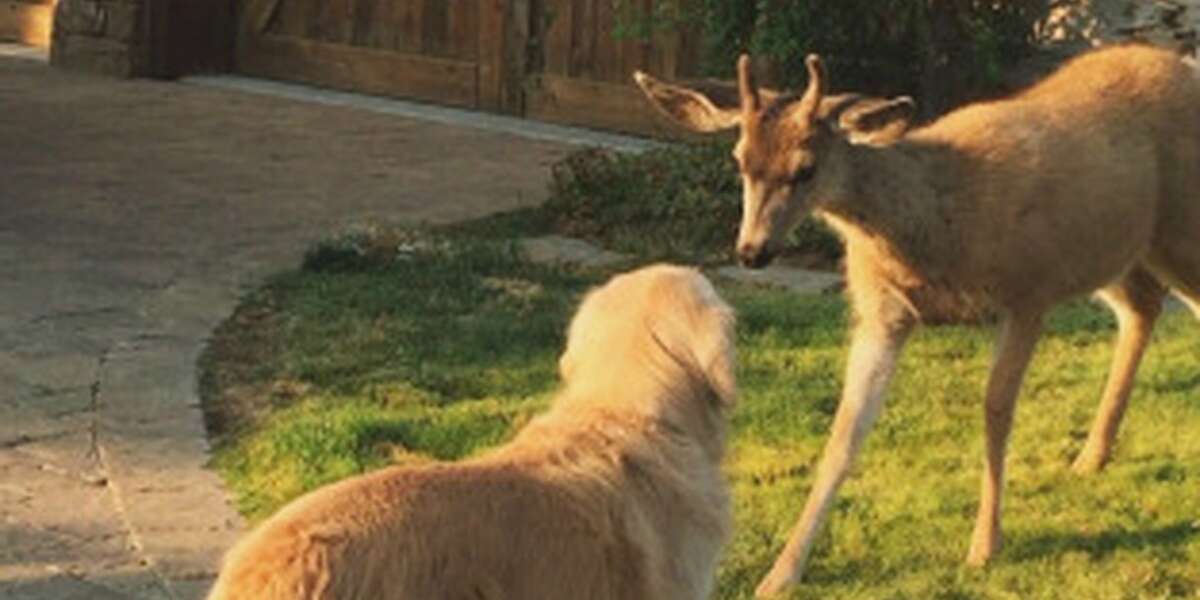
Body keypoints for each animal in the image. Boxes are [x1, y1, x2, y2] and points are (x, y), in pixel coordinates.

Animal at [634, 44, 1200, 597]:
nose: (751, 252)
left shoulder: (1029, 290)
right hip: (1116, 252)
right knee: (1143, 306)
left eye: (806, 168)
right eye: (740, 161)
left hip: (1176, 231)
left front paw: (984, 545)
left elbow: (996, 411)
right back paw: (1091, 456)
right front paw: (780, 573)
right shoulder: (883, 314)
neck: (934, 217)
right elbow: (845, 432)